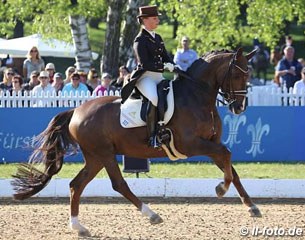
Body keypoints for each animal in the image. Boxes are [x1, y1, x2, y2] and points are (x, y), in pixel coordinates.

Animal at [11, 47, 258, 235]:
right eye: (237, 75)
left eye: (248, 76)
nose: (239, 107)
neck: (197, 96)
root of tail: (76, 111)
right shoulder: (191, 144)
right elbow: (227, 155)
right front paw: (221, 189)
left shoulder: (210, 143)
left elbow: (231, 168)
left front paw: (251, 206)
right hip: (104, 154)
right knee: (118, 184)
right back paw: (152, 215)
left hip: (95, 157)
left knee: (76, 185)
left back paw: (78, 227)